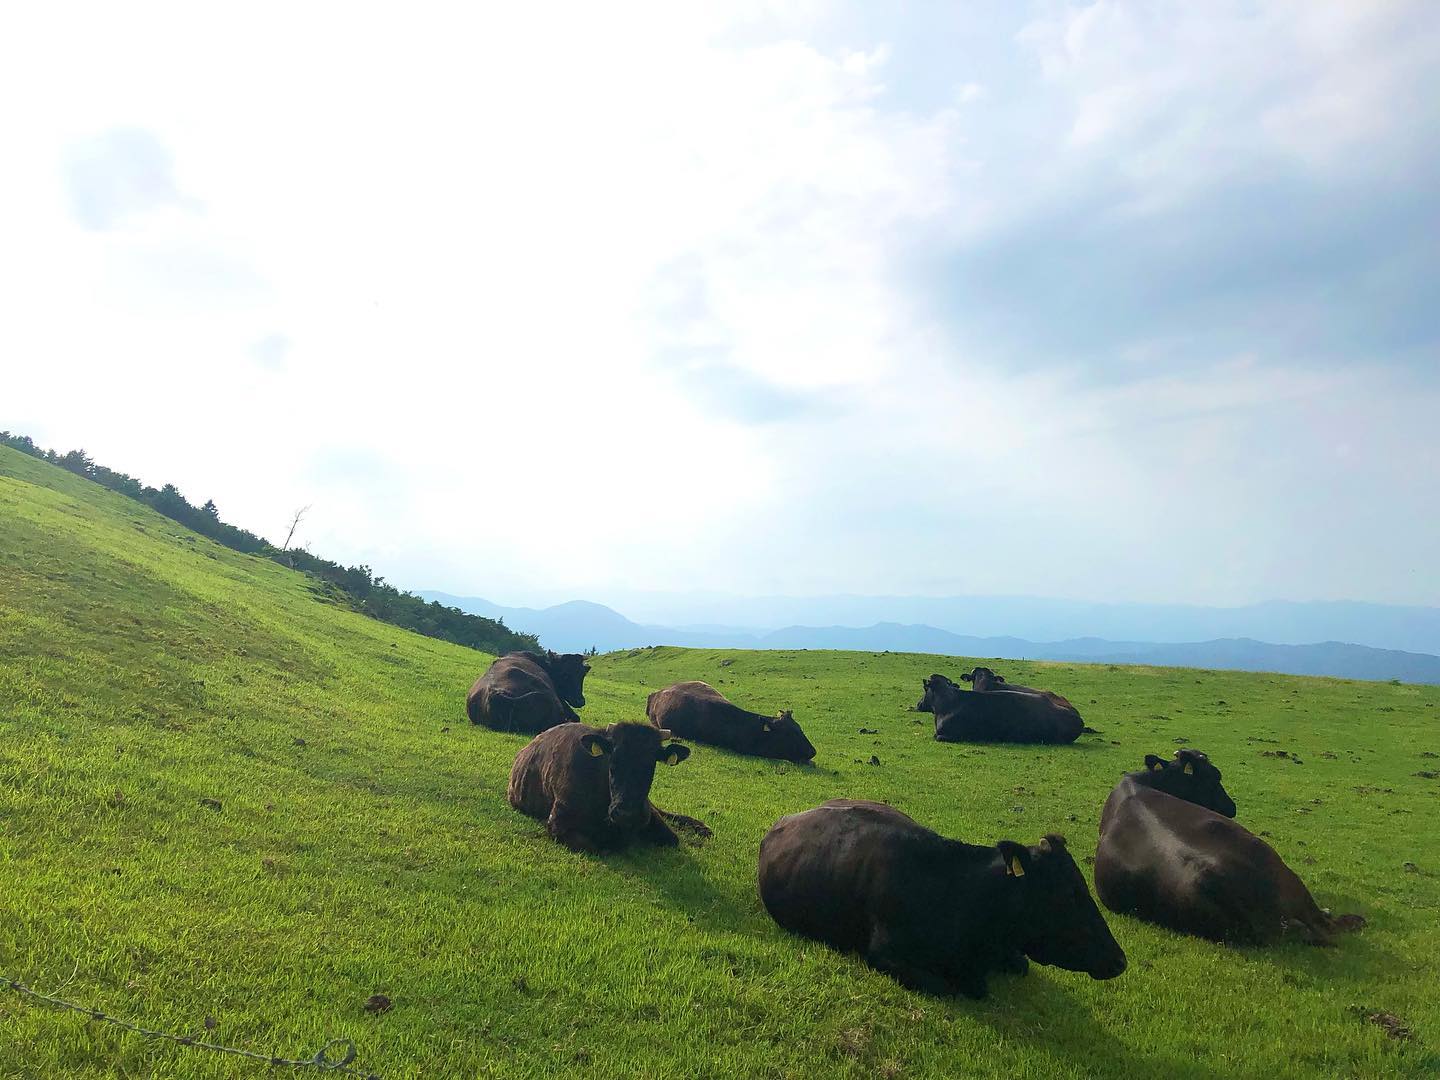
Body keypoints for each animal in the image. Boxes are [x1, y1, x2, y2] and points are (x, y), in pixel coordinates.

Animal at [509, 728, 711, 852]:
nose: (627, 813)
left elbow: (673, 839)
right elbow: (596, 846)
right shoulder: (558, 823)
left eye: (651, 764)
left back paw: (701, 827)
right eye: (613, 761)